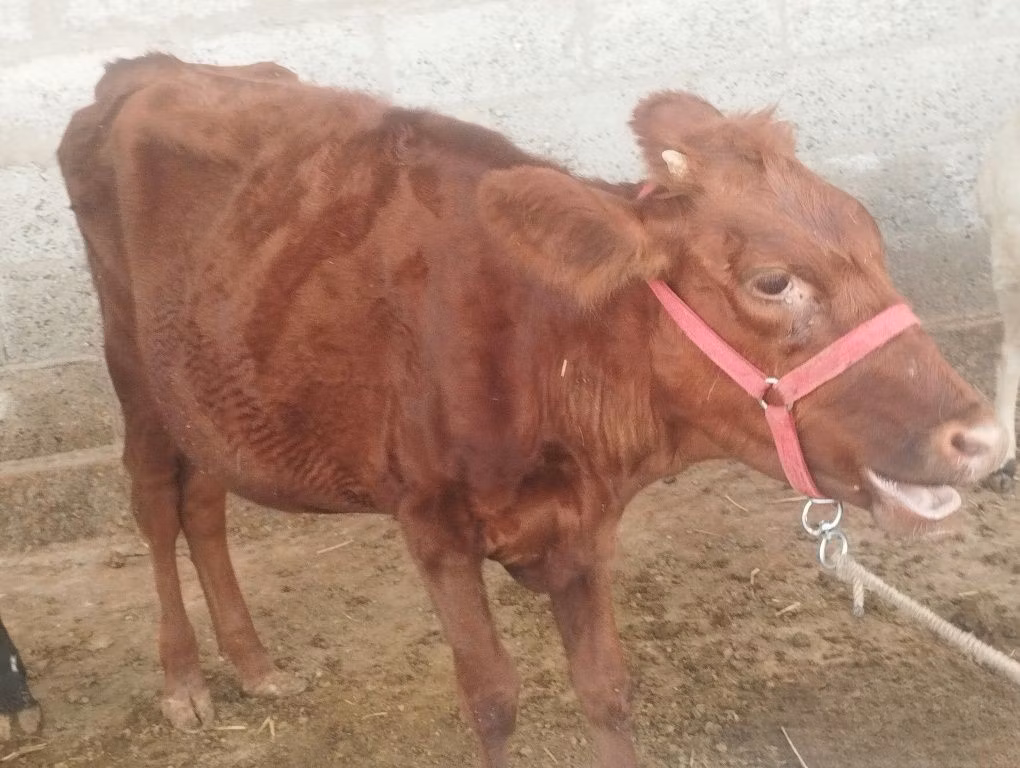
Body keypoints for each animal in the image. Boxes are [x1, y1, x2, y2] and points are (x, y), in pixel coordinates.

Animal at [57, 54, 1007, 768]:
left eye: (873, 243)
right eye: (772, 281)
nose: (986, 436)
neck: (547, 348)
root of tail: (147, 68)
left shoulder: (584, 525)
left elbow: (607, 689)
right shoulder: (432, 525)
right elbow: (492, 699)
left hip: (208, 386)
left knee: (205, 501)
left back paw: (252, 662)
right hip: (130, 361)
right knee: (155, 501)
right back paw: (184, 680)